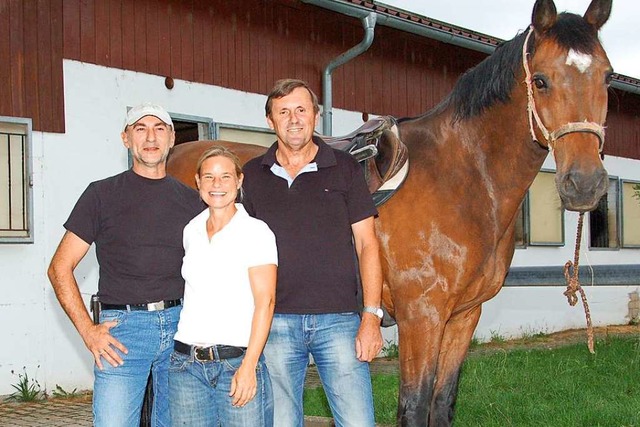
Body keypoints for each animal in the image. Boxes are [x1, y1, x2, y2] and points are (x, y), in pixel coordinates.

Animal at [166, 0, 616, 424]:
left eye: (607, 77)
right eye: (540, 80)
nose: (585, 183)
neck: (465, 179)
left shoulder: (463, 317)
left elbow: (442, 405)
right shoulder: (422, 317)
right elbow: (414, 408)